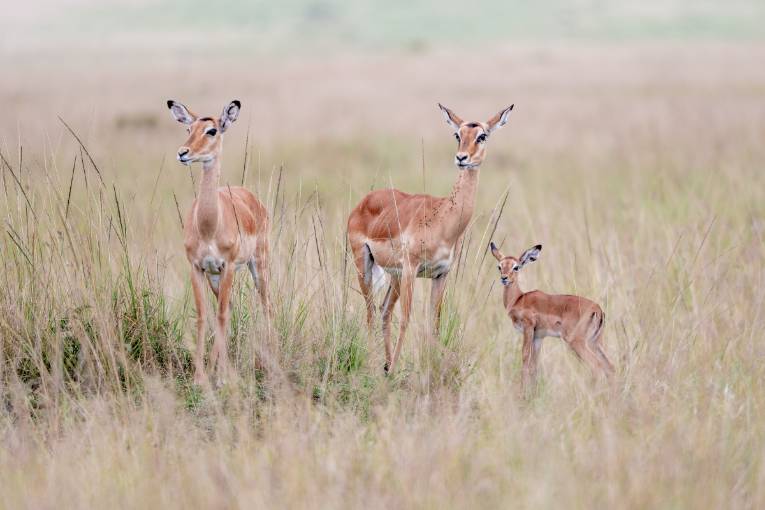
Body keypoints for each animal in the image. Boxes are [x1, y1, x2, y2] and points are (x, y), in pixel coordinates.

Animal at [167, 99, 272, 384]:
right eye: (188, 128)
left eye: (212, 130)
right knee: (230, 308)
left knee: (265, 305)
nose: (183, 153)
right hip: (216, 277)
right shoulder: (197, 268)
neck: (208, 227)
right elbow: (205, 316)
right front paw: (201, 375)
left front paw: (222, 375)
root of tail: (251, 198)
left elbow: (221, 315)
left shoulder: (227, 266)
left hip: (257, 265)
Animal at [490, 241, 616, 392]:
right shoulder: (538, 337)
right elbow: (534, 365)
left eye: (516, 267)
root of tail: (597, 309)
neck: (518, 299)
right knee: (610, 367)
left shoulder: (528, 328)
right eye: (499, 266)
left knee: (596, 367)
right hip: (595, 342)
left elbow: (525, 358)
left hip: (577, 342)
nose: (504, 278)